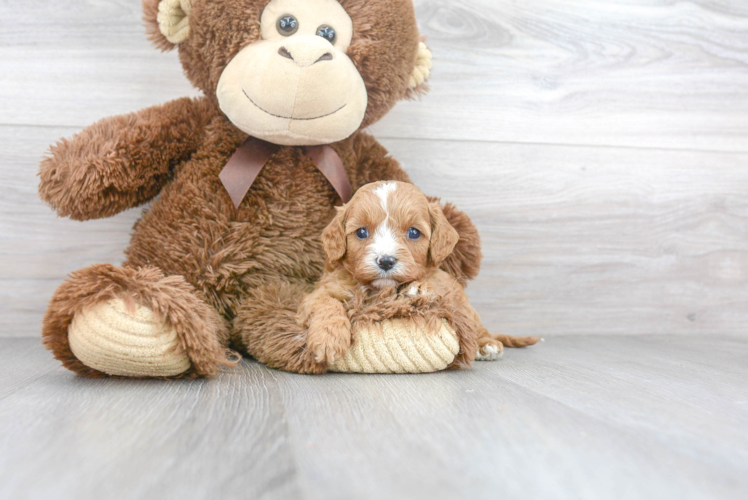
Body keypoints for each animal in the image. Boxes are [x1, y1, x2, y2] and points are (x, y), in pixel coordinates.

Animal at [298, 182, 536, 366]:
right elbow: (328, 304)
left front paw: (416, 290)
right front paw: (328, 339)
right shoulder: (321, 292)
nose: (386, 261)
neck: (380, 290)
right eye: (362, 232)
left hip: (464, 304)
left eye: (413, 232)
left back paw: (485, 345)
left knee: (474, 324)